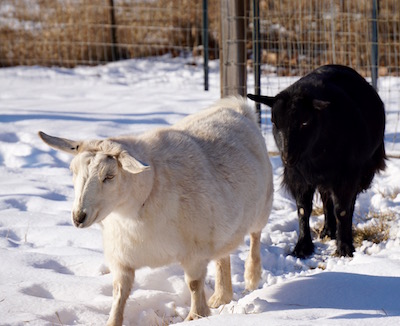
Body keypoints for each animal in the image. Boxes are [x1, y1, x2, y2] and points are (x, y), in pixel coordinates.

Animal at [39, 97, 274, 326]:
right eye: (72, 171)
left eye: (109, 176)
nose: (79, 217)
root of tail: (237, 108)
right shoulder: (121, 256)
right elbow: (119, 292)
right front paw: (113, 321)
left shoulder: (195, 253)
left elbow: (194, 284)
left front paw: (196, 316)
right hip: (222, 228)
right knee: (222, 256)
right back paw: (220, 297)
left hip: (262, 205)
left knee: (255, 236)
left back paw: (252, 275)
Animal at [248, 64, 386, 258]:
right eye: (274, 122)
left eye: (305, 122)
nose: (287, 157)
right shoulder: (298, 177)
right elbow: (303, 209)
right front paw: (302, 246)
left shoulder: (347, 175)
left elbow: (342, 210)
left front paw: (344, 248)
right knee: (326, 198)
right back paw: (328, 230)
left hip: (362, 171)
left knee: (347, 204)